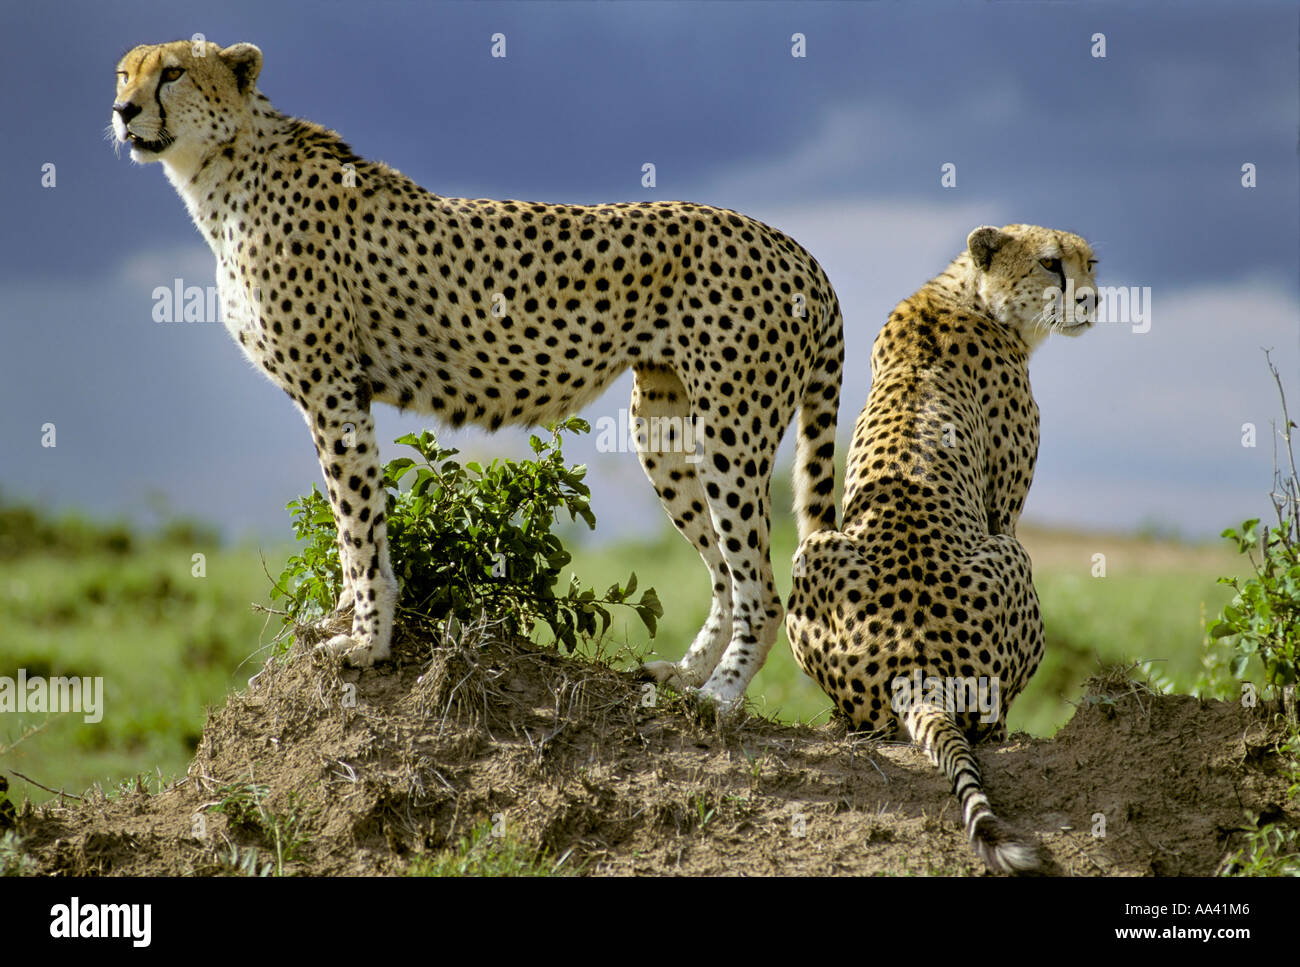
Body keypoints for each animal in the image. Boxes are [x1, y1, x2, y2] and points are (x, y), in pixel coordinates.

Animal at [109, 41, 842, 707]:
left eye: (172, 73)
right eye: (124, 73)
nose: (123, 111)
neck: (222, 173)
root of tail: (796, 248)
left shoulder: (332, 387)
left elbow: (356, 522)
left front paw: (366, 643)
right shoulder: (338, 390)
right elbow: (353, 522)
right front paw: (345, 622)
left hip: (733, 430)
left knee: (761, 587)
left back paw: (720, 696)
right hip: (660, 423)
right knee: (724, 571)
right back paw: (685, 677)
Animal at [790, 222, 1097, 873]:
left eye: (1091, 264)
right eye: (1051, 264)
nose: (1091, 300)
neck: (967, 295)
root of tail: (917, 663)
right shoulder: (1003, 512)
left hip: (815, 550)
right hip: (1009, 557)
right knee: (984, 721)